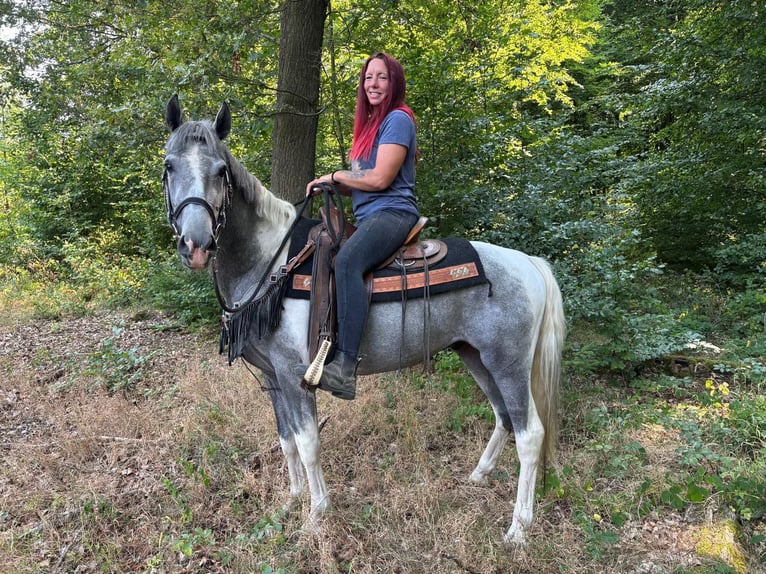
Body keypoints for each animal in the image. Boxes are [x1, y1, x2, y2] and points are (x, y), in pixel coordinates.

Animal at [161, 94, 566, 545]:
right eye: (169, 166)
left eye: (220, 171)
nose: (196, 245)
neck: (272, 263)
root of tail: (528, 263)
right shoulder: (271, 377)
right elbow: (286, 441)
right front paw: (291, 501)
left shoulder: (294, 374)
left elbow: (307, 442)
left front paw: (316, 514)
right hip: (474, 356)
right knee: (503, 416)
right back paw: (479, 475)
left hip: (508, 363)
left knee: (530, 434)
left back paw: (518, 528)